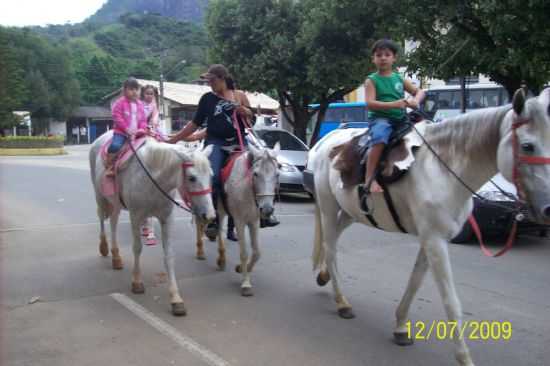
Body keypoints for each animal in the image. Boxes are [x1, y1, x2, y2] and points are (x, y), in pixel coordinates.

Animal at [89, 133, 217, 316]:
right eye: (192, 178)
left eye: (211, 176)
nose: (210, 215)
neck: (154, 178)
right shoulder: (136, 216)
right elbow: (137, 248)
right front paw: (137, 282)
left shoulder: (167, 218)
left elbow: (169, 255)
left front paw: (175, 298)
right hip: (99, 195)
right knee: (102, 218)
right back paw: (105, 247)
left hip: (116, 202)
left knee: (113, 221)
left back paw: (116, 256)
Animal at [194, 142, 280, 296]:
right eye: (256, 174)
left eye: (277, 174)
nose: (267, 210)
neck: (247, 188)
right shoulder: (240, 221)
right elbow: (244, 253)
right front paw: (246, 284)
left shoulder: (254, 221)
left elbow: (257, 252)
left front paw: (241, 268)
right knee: (201, 223)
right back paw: (201, 251)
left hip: (221, 211)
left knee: (219, 227)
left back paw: (221, 258)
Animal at [308, 89, 550, 366]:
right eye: (528, 145)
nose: (547, 209)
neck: (445, 169)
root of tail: (324, 142)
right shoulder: (435, 241)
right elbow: (451, 302)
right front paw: (464, 357)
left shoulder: (432, 238)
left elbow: (414, 283)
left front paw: (401, 327)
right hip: (328, 207)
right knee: (330, 246)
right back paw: (342, 302)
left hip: (352, 212)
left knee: (333, 240)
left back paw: (325, 276)